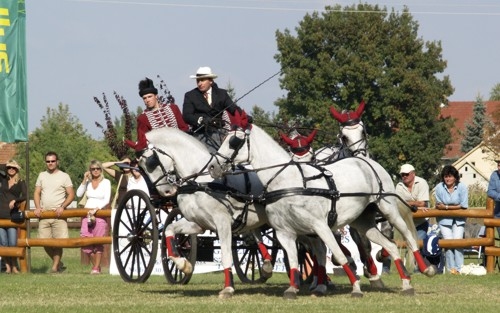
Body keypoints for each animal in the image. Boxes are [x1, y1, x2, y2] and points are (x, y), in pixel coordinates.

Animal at [138, 127, 274, 298]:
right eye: (141, 168)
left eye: (152, 161)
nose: (166, 191)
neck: (201, 182)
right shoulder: (198, 223)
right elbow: (169, 230)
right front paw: (183, 265)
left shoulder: (223, 222)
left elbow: (226, 254)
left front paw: (228, 288)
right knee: (257, 237)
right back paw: (267, 265)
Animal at [209, 117, 436, 298]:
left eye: (234, 141)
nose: (212, 166)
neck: (288, 181)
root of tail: (364, 160)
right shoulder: (285, 232)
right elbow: (294, 258)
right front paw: (293, 288)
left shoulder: (320, 226)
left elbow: (338, 254)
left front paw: (355, 287)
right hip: (362, 221)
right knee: (389, 245)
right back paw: (406, 284)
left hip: (387, 207)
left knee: (407, 236)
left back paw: (426, 269)